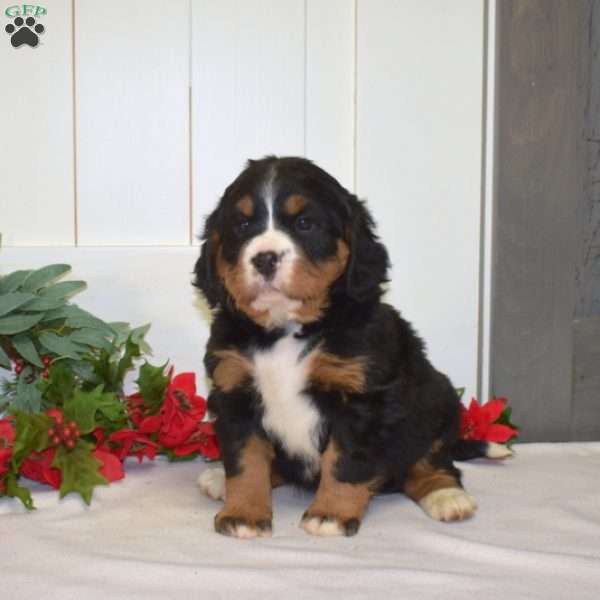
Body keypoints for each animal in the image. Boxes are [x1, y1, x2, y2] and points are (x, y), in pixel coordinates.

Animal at [192, 155, 506, 540]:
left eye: (305, 223)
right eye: (242, 225)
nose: (264, 258)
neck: (286, 329)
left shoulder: (359, 400)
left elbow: (343, 462)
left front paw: (331, 514)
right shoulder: (235, 391)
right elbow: (246, 461)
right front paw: (244, 514)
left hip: (437, 398)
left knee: (431, 461)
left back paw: (446, 496)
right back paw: (218, 479)